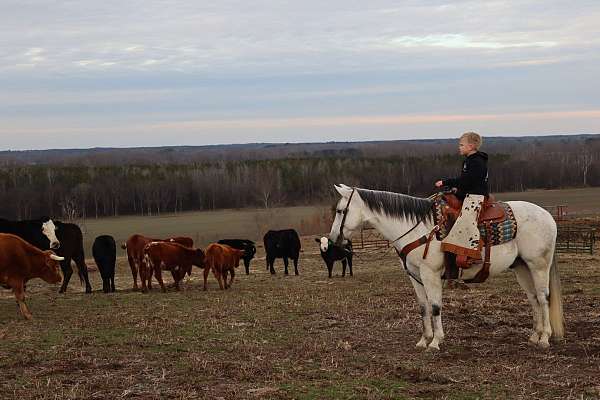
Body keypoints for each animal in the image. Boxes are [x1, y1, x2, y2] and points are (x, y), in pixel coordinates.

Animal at [328, 184, 564, 350]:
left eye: (340, 211)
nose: (332, 239)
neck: (417, 228)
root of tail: (548, 216)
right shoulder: (415, 276)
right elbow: (423, 307)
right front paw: (424, 340)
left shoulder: (430, 274)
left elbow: (435, 306)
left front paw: (436, 341)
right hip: (522, 267)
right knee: (533, 298)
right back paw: (534, 335)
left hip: (539, 265)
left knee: (543, 297)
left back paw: (545, 338)